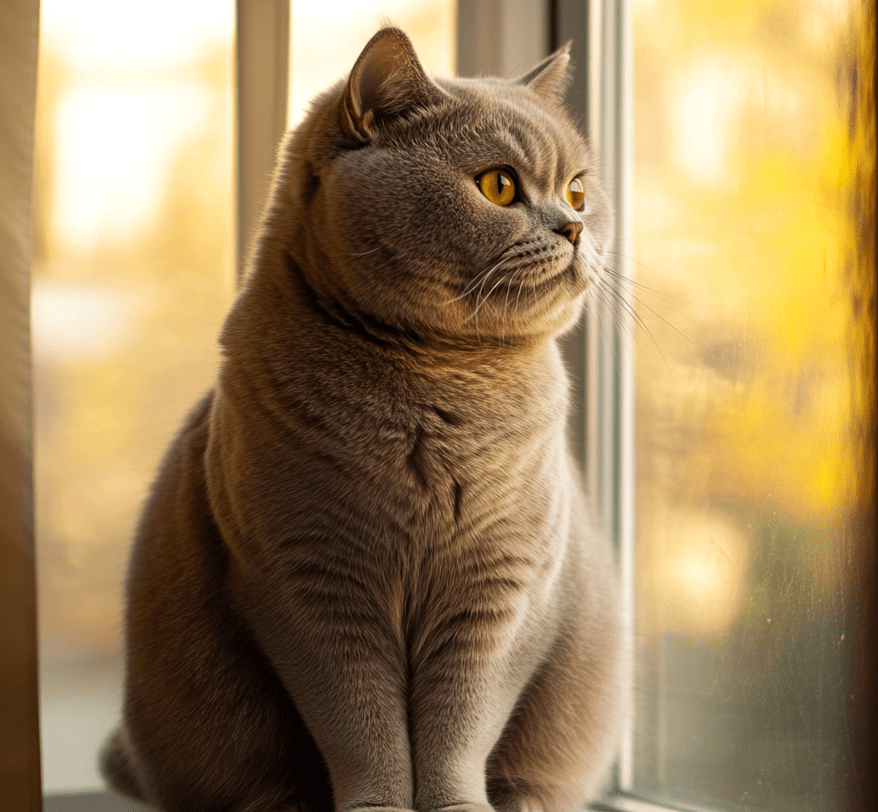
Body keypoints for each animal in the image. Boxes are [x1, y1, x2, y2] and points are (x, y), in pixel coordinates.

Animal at [101, 25, 624, 812]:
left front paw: (455, 805)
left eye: (578, 190)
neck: (437, 392)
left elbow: (460, 723)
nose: (573, 228)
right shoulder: (312, 586)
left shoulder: (500, 589)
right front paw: (379, 804)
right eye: (499, 186)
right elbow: (360, 723)